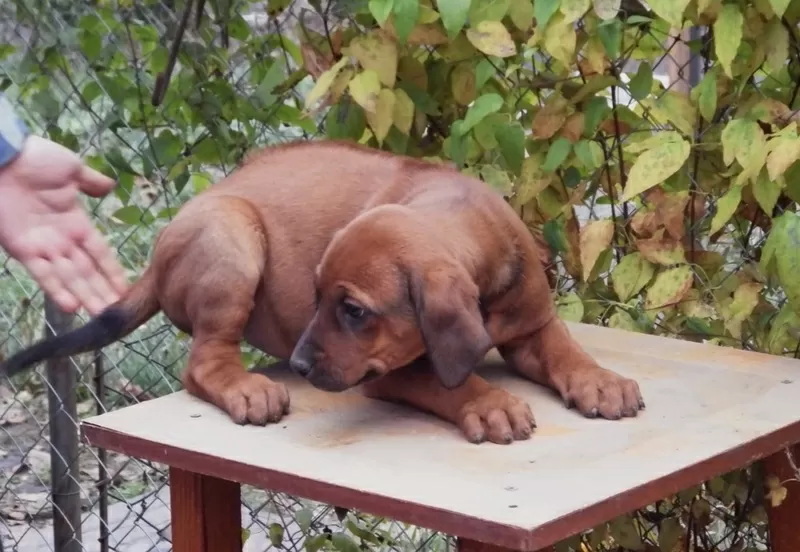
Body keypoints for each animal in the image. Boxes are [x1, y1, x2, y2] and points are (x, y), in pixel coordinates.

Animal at [0, 141, 640, 444]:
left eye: (353, 310)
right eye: (318, 298)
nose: (305, 365)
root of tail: (157, 260)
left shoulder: (533, 324)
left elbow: (566, 351)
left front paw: (601, 380)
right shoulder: (389, 371)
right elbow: (445, 380)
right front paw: (489, 403)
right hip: (231, 239)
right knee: (202, 363)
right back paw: (247, 389)